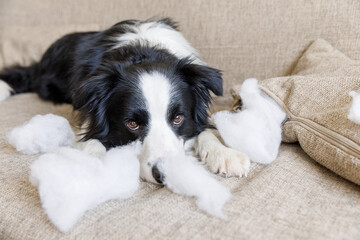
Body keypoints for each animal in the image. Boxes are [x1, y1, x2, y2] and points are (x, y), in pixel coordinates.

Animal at [0, 18, 249, 183]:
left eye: (178, 118)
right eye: (132, 124)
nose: (166, 175)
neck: (144, 52)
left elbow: (204, 130)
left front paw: (225, 155)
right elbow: (91, 139)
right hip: (48, 84)